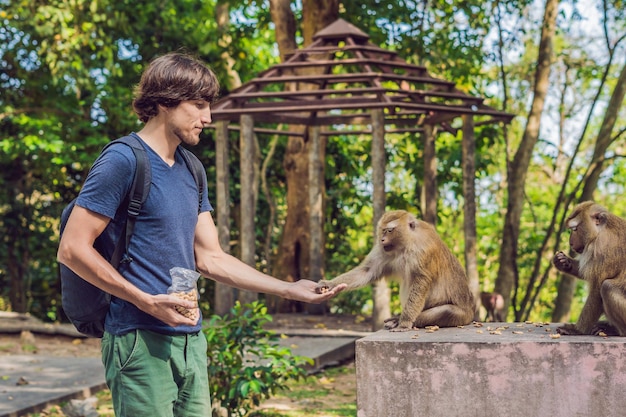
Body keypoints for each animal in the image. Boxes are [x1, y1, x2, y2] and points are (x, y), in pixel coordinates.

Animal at [316, 210, 472, 330]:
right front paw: (329, 284)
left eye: (390, 230)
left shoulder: (425, 251)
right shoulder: (383, 250)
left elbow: (421, 281)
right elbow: (367, 270)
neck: (407, 243)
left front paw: (405, 322)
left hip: (462, 316)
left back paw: (400, 320)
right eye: (382, 231)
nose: (382, 239)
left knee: (448, 311)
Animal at [552, 201, 626, 334]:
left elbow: (596, 291)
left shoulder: (601, 250)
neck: (601, 231)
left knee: (607, 287)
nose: (571, 243)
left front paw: (577, 330)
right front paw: (563, 262)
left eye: (575, 229)